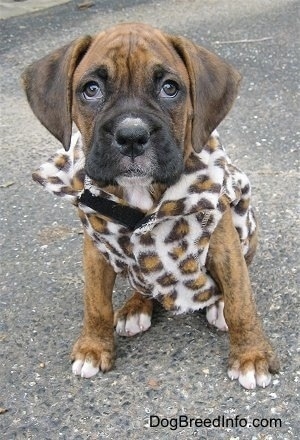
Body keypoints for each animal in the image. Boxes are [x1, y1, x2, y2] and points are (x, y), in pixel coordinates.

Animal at [22, 23, 278, 388]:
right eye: (91, 89)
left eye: (170, 88)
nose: (132, 135)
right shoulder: (95, 247)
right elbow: (95, 302)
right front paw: (93, 347)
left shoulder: (223, 240)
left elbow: (241, 298)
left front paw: (251, 355)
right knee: (143, 282)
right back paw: (135, 307)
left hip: (247, 232)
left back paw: (216, 308)